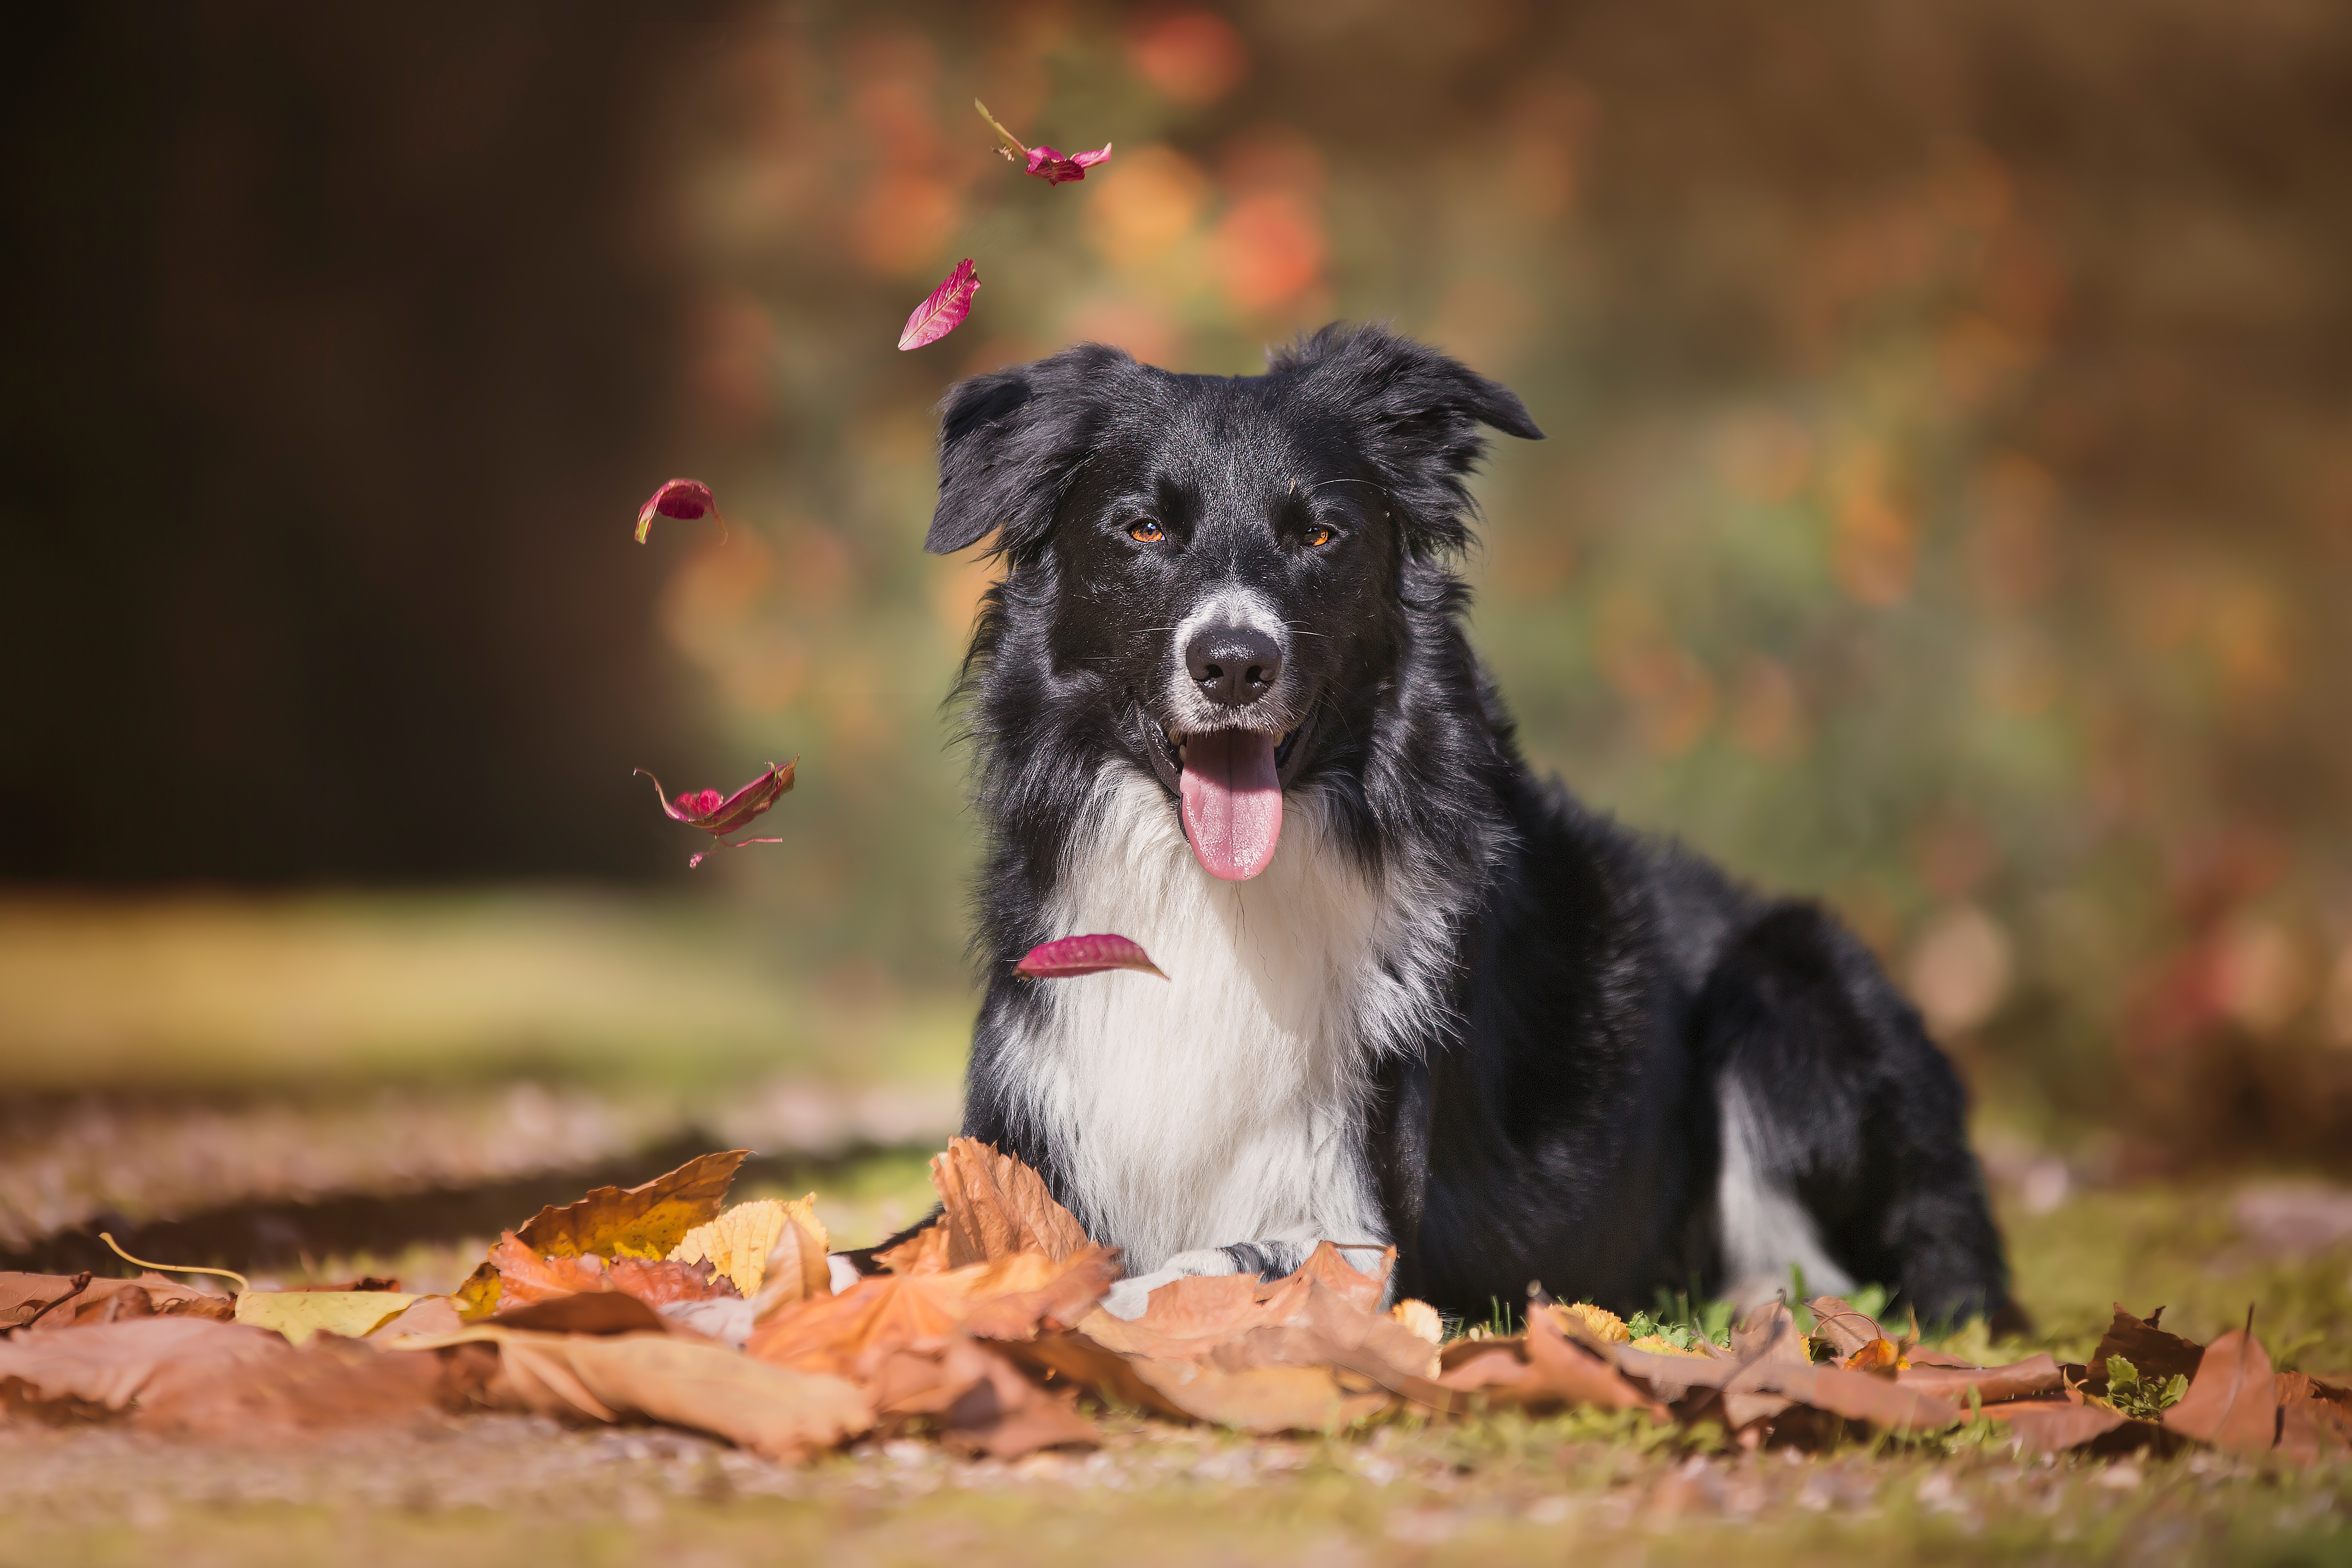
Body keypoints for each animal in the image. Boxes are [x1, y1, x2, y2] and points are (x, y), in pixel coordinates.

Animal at [917, 324, 2004, 1335]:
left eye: (1321, 537)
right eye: (1143, 530)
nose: (1234, 663)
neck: (1210, 894)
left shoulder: (1354, 1225)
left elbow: (1168, 1277)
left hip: (1788, 981)